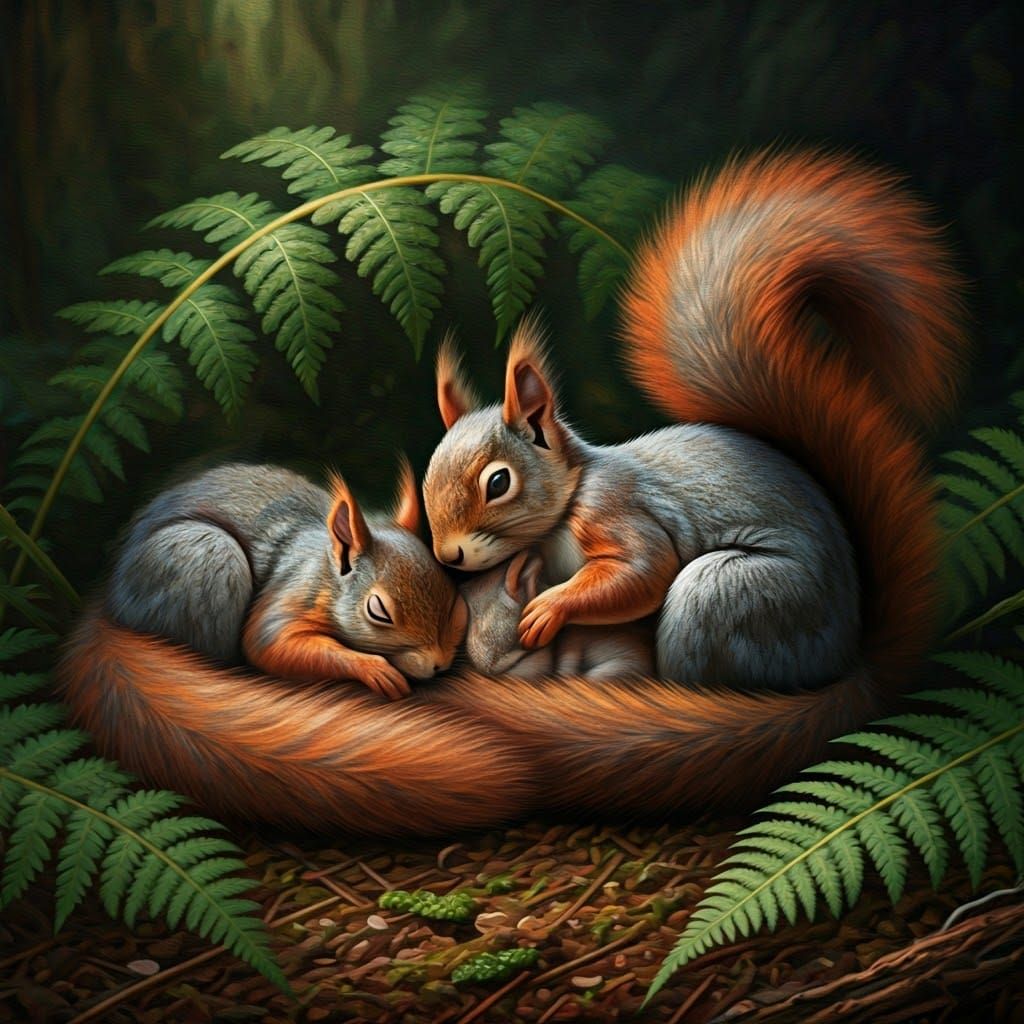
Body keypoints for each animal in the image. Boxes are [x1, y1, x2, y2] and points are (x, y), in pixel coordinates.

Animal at [56, 462, 535, 835]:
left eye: (454, 605)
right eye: (378, 611)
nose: (437, 666)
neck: (326, 569)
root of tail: (110, 597)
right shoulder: (290, 594)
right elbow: (271, 644)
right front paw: (373, 668)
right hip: (205, 559)